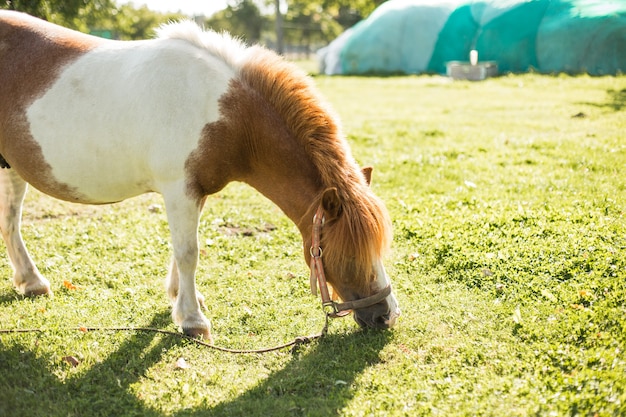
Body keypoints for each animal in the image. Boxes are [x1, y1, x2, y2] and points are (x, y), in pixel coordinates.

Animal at [0, 11, 400, 340]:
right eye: (350, 256)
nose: (387, 316)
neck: (225, 114)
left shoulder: (197, 191)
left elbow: (182, 251)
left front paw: (180, 299)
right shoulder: (179, 190)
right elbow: (188, 252)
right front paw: (193, 321)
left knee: (10, 222)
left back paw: (32, 282)